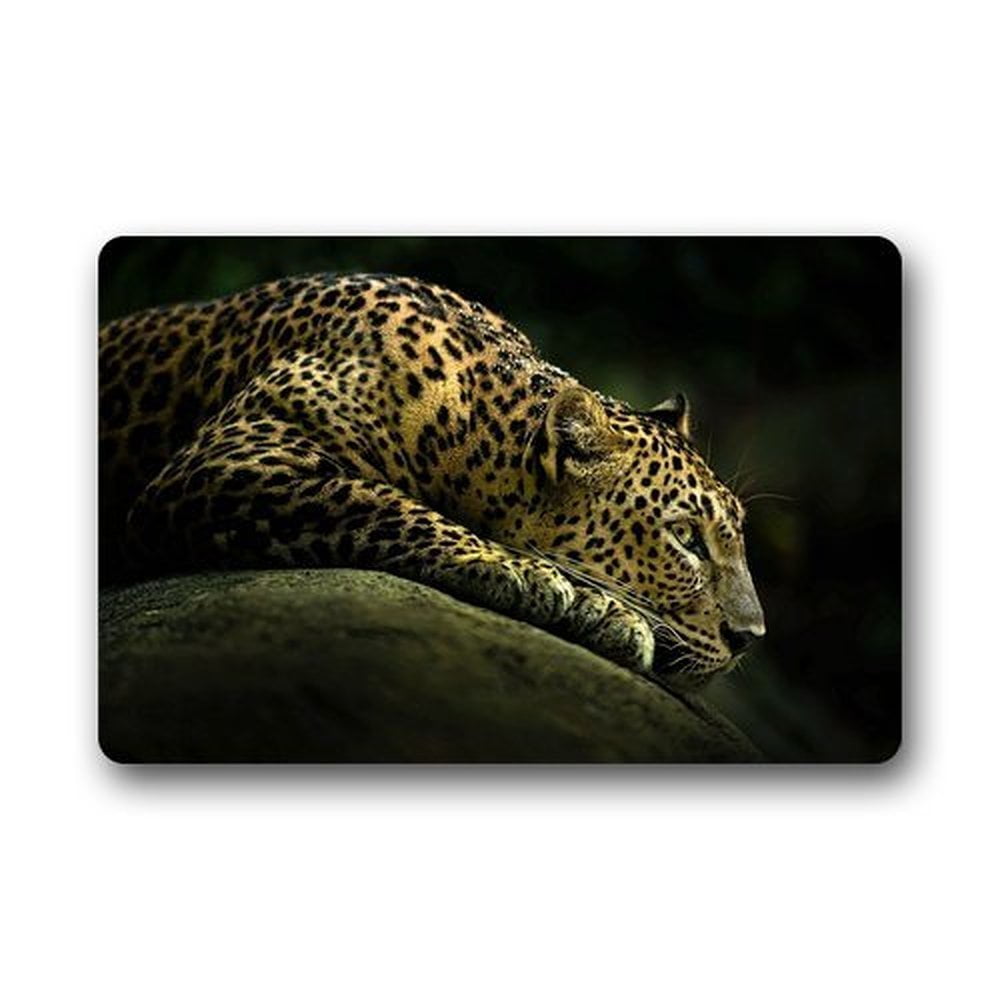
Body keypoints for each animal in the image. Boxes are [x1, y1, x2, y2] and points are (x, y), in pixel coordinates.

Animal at [99, 272, 765, 688]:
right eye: (686, 538)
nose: (750, 638)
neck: (467, 427)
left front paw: (603, 610)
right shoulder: (234, 457)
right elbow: (376, 500)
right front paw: (528, 575)